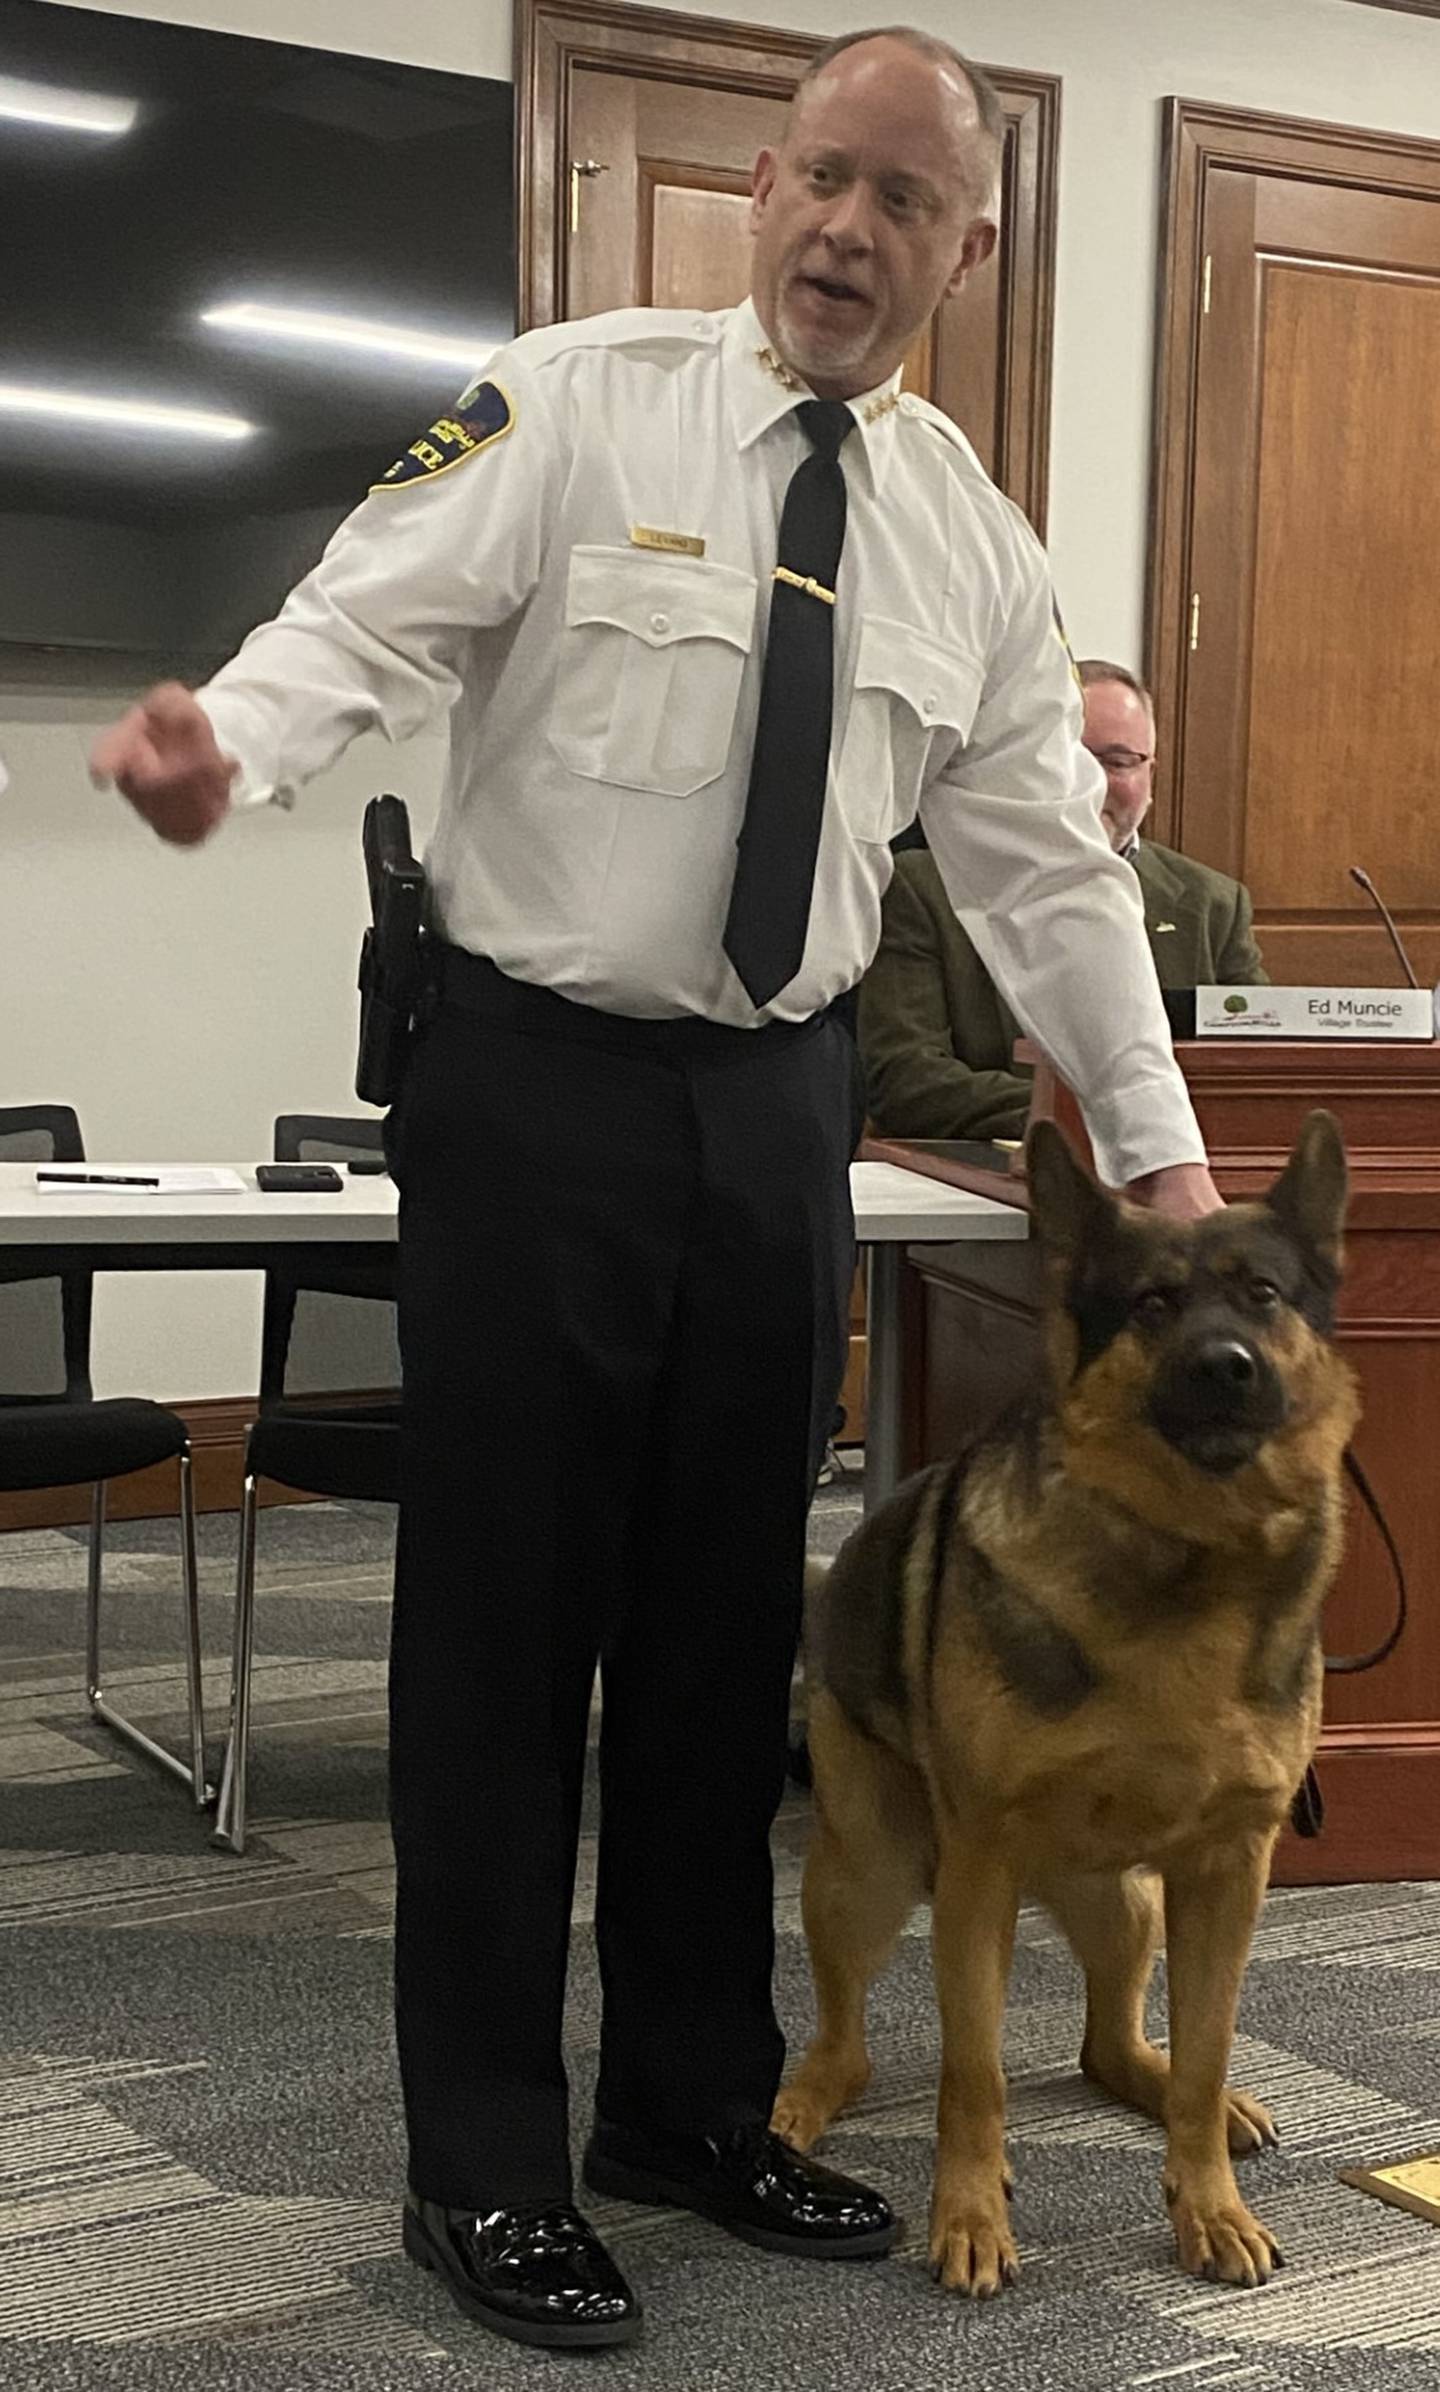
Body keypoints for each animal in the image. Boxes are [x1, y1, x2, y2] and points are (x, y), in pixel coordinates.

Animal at [770, 1114, 1349, 2296]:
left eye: (1264, 1294)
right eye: (1154, 1304)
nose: (1229, 1368)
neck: (1186, 1562)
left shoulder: (1227, 1876)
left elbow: (1207, 2047)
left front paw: (1209, 2202)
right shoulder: (978, 1875)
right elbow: (974, 2075)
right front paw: (969, 2214)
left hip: (1128, 1904)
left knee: (1113, 2046)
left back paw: (1188, 2098)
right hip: (876, 1874)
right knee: (851, 2042)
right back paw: (807, 2100)